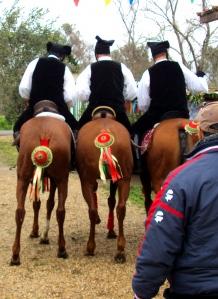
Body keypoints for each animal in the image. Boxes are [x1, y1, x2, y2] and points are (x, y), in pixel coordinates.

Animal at [10, 115, 71, 268]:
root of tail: (45, 132)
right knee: (59, 211)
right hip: (61, 179)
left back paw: (15, 255)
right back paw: (61, 249)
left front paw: (38, 232)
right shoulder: (52, 180)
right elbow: (47, 204)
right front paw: (41, 234)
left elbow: (40, 204)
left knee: (20, 212)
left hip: (24, 178)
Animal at [76, 116, 132, 264]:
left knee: (92, 209)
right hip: (125, 179)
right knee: (121, 208)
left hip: (86, 181)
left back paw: (91, 246)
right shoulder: (115, 178)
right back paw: (120, 250)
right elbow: (111, 201)